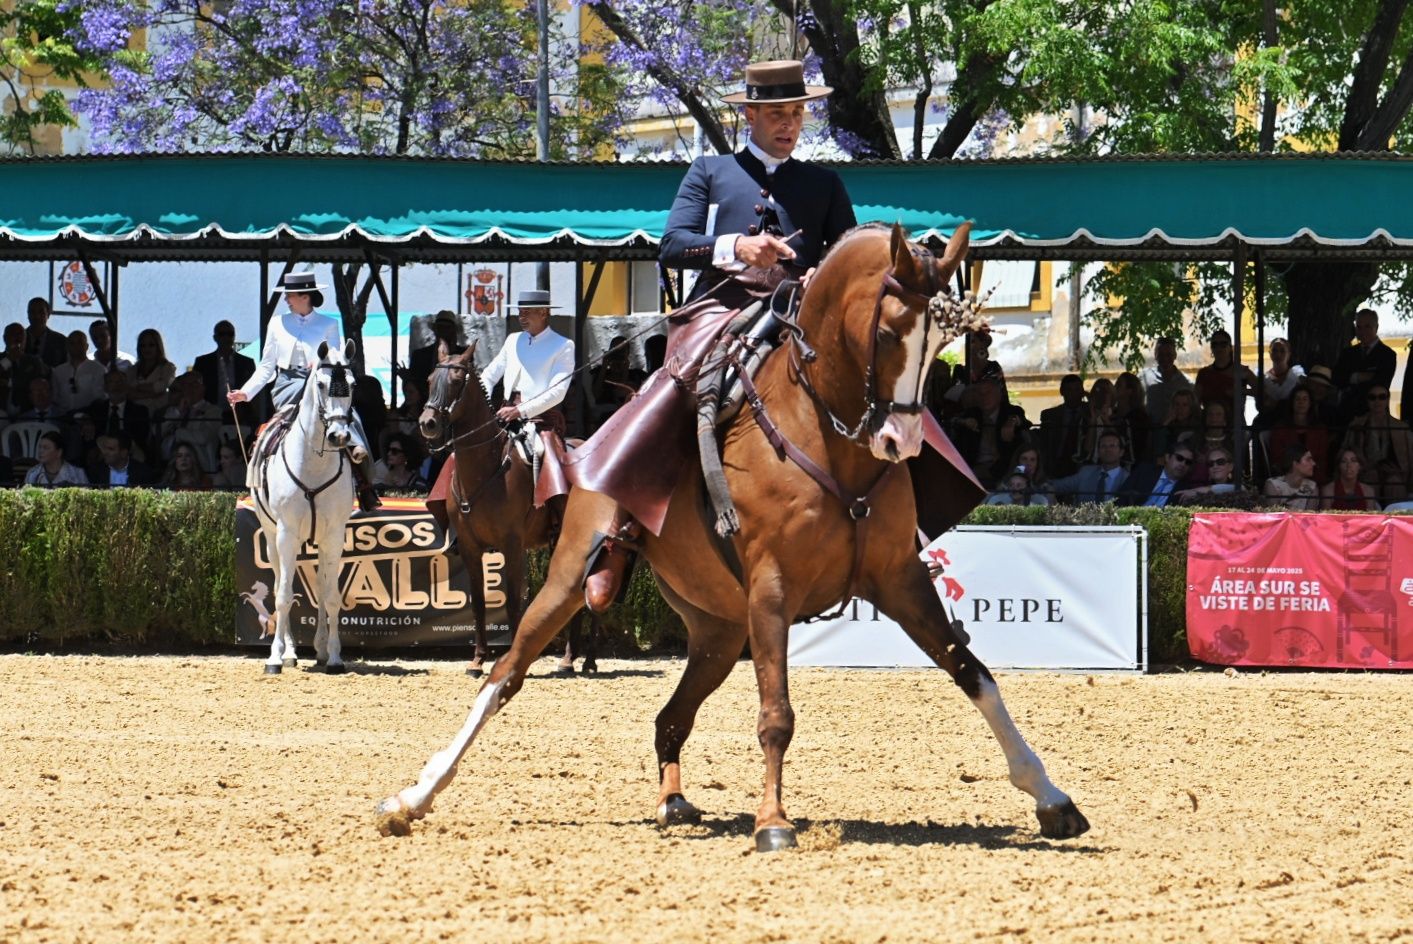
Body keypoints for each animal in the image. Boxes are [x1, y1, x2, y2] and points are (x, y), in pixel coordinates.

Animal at [249, 340, 358, 675]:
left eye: (353, 384)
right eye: (321, 384)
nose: (339, 436)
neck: (313, 464)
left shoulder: (334, 535)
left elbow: (331, 596)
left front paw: (334, 656)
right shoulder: (286, 533)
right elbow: (284, 595)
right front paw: (275, 658)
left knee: (320, 585)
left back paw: (320, 650)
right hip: (274, 538)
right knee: (279, 582)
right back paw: (289, 652)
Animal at [419, 343, 597, 677]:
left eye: (456, 381)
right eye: (429, 379)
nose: (428, 423)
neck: (486, 468)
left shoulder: (512, 544)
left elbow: (514, 601)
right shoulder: (471, 547)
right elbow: (478, 602)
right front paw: (477, 660)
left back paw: (588, 659)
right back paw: (569, 659)